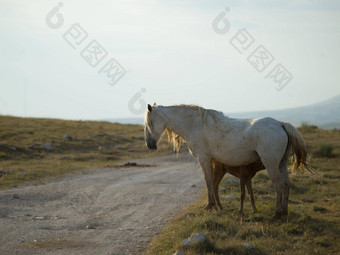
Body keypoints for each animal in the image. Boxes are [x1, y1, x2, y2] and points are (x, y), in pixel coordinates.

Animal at [143, 103, 310, 217]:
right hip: (281, 164)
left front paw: (209, 206)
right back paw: (284, 212)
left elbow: (208, 182)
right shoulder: (212, 161)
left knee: (279, 185)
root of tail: (281, 124)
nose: (150, 145)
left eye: (149, 123)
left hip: (271, 164)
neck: (196, 125)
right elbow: (212, 183)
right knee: (286, 184)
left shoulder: (204, 158)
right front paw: (216, 206)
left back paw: (277, 213)